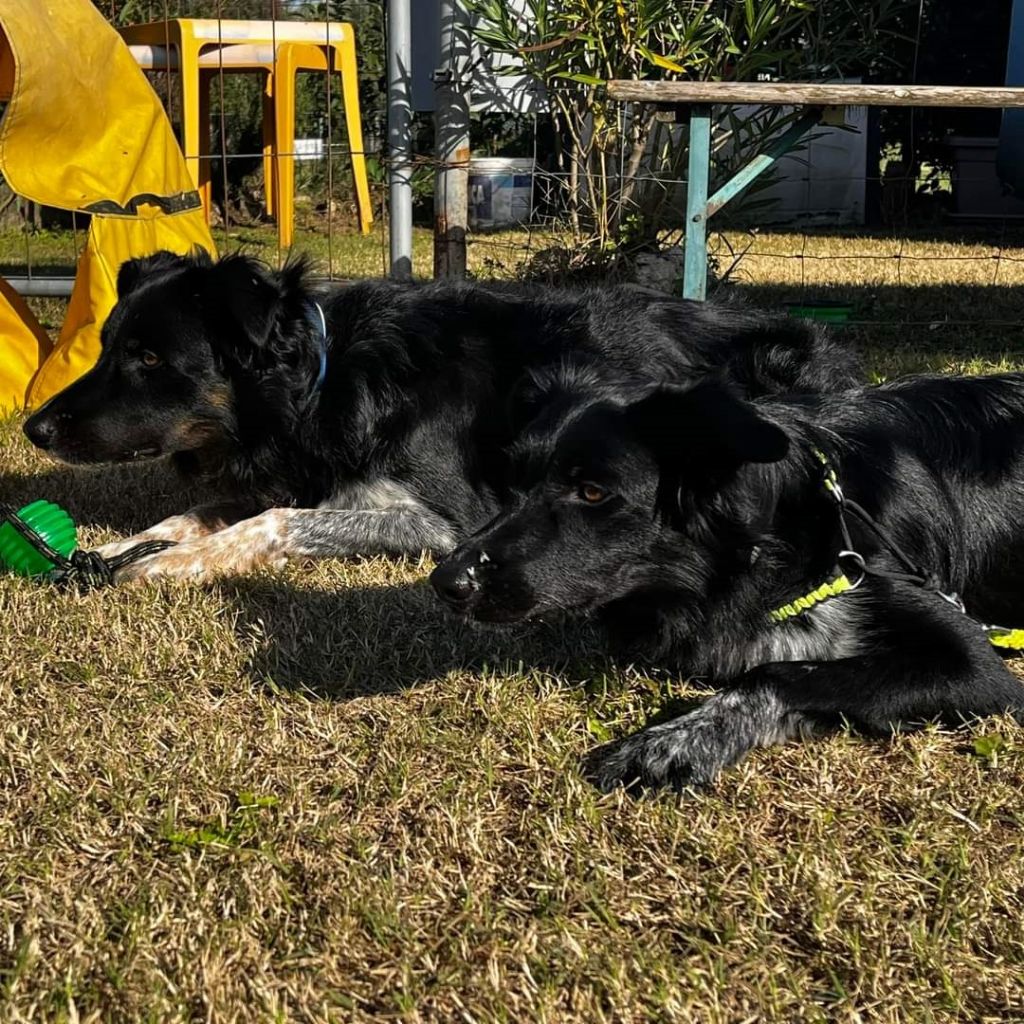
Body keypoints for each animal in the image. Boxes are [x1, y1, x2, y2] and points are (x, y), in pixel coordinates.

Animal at [22, 247, 856, 581]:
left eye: (150, 359)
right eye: (107, 345)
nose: (33, 428)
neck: (325, 380)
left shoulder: (443, 521)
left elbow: (275, 521)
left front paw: (170, 565)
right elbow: (201, 511)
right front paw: (120, 545)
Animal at [432, 372, 1024, 786]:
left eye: (593, 492)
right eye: (512, 482)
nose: (447, 583)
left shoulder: (972, 662)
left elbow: (778, 672)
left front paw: (672, 742)